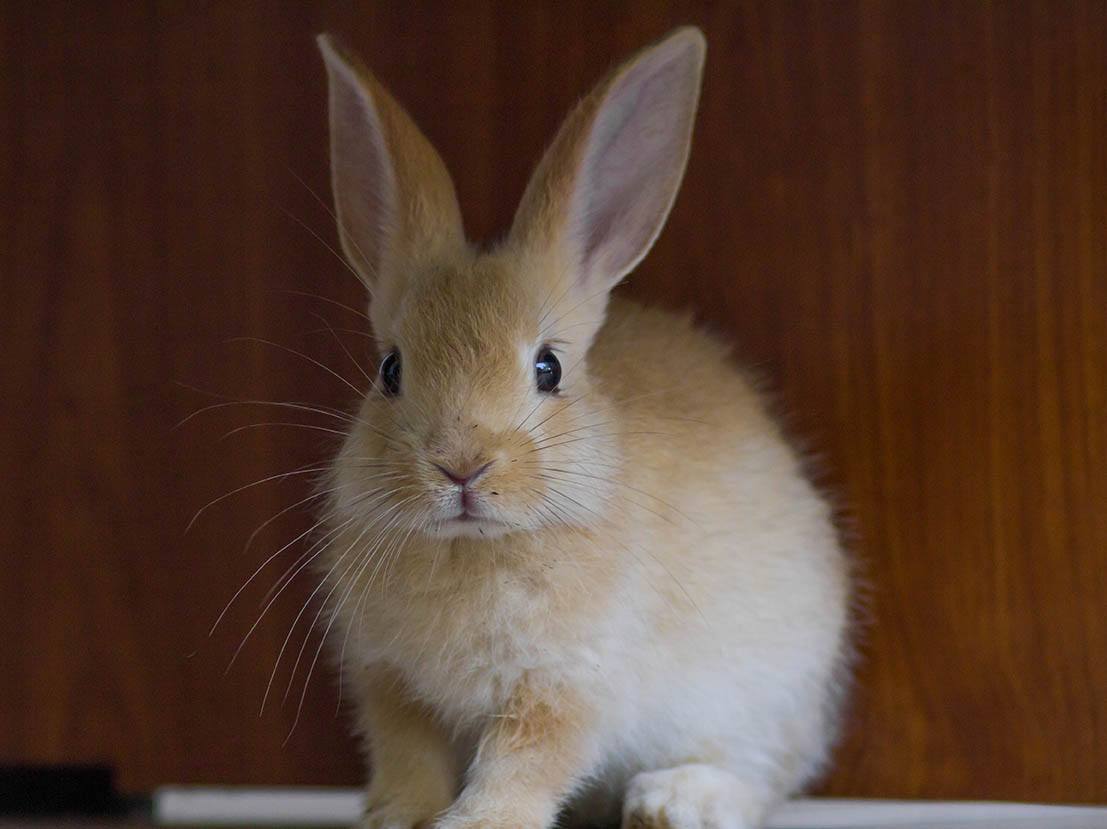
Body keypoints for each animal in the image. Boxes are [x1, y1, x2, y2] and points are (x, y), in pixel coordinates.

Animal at [314, 25, 851, 829]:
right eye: (389, 369)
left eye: (548, 368)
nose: (461, 464)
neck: (475, 547)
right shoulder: (391, 685)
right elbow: (409, 758)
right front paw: (397, 817)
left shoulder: (565, 686)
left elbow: (525, 763)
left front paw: (477, 822)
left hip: (763, 693)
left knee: (759, 775)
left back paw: (672, 799)